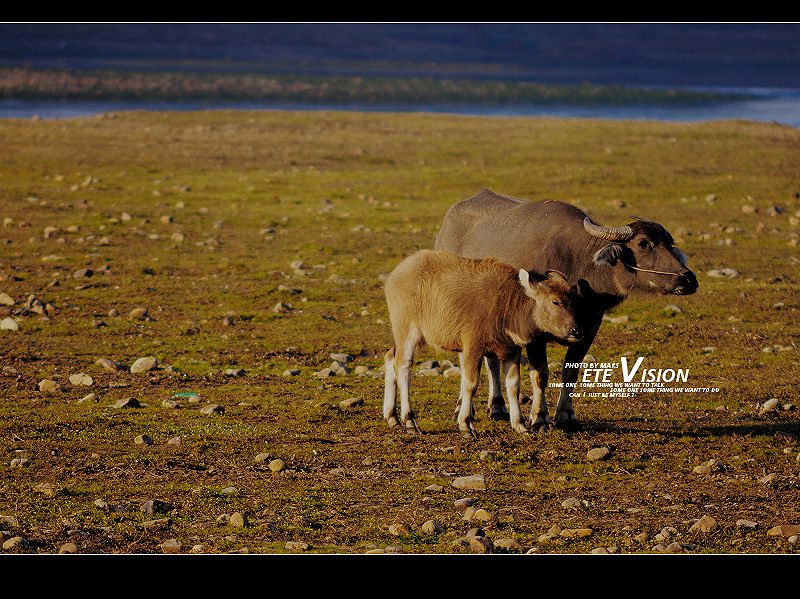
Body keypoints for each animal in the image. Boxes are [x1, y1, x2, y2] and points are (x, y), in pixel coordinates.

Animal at [434, 188, 696, 432]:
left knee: (491, 362)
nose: (688, 279)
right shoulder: (534, 333)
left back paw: (497, 407)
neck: (578, 267)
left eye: (670, 243)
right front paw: (540, 417)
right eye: (643, 244)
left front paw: (566, 415)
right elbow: (540, 374)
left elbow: (571, 372)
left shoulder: (590, 326)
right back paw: (463, 408)